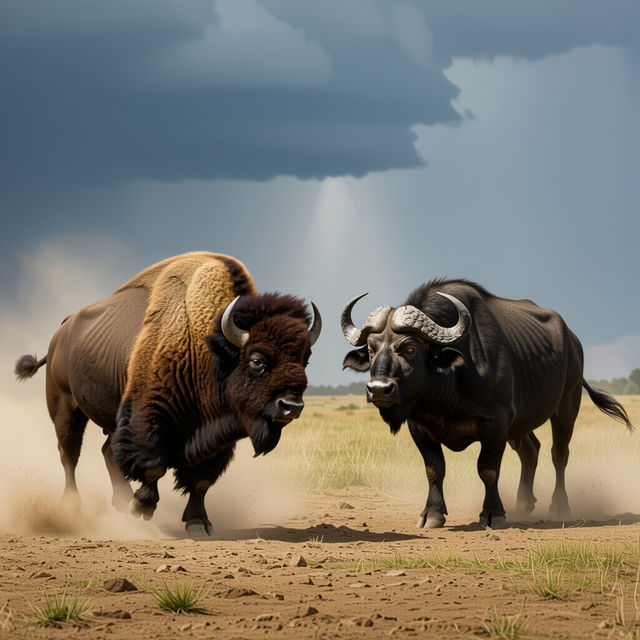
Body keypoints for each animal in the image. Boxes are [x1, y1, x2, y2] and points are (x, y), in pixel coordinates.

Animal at [15, 252, 321, 537]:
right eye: (257, 361)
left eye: (305, 359)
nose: (291, 406)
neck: (208, 349)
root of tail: (61, 330)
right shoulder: (148, 419)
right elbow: (154, 467)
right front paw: (142, 508)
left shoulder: (219, 436)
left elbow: (201, 480)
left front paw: (198, 524)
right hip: (66, 408)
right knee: (69, 455)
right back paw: (73, 507)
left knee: (106, 452)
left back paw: (119, 503)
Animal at [341, 279, 632, 529]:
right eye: (371, 350)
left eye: (409, 349)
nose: (379, 389)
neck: (451, 379)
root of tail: (573, 341)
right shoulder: (419, 426)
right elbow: (434, 470)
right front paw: (432, 514)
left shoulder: (496, 423)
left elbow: (488, 470)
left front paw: (493, 514)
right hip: (520, 424)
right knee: (531, 450)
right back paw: (523, 504)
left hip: (566, 406)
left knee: (559, 454)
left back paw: (559, 506)